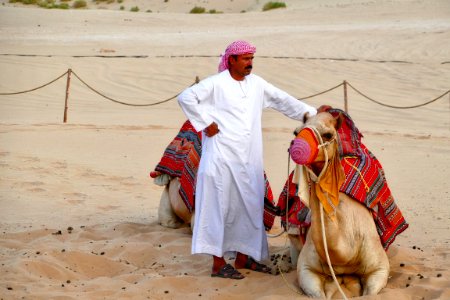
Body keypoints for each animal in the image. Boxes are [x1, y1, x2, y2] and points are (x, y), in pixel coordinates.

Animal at [288, 111, 394, 298]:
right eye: (296, 132)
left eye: (328, 134)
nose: (297, 146)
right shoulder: (306, 269)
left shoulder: (379, 268)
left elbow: (370, 293)